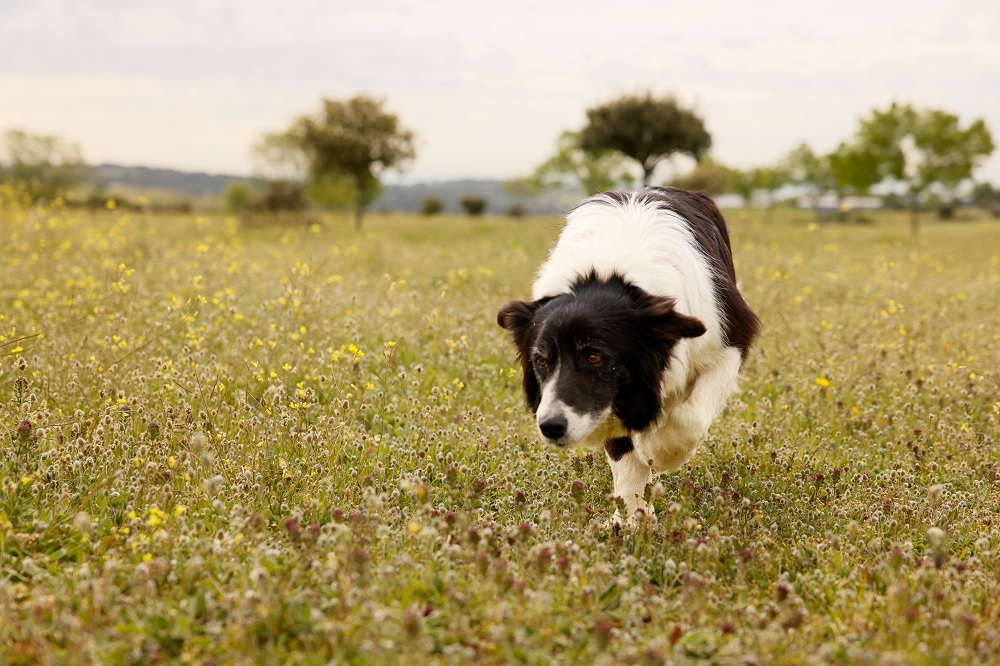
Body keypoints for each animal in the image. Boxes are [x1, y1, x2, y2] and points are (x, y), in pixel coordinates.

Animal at [500, 184, 756, 520]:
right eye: (541, 361)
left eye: (594, 356)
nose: (551, 427)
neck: (606, 275)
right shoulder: (613, 396)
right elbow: (624, 453)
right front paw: (631, 517)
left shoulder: (729, 340)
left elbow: (690, 418)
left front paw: (660, 451)